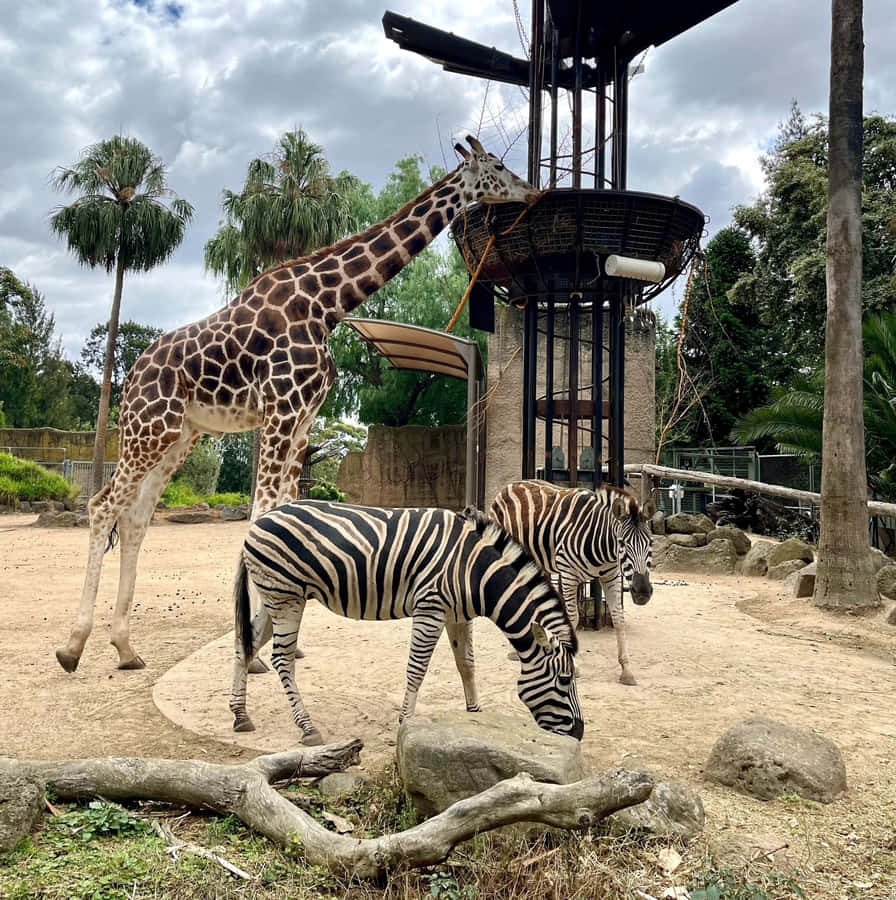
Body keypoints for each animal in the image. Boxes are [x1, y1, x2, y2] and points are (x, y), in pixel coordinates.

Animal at [228, 499, 583, 745]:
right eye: (565, 680)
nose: (579, 734)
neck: (475, 572)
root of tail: (257, 523)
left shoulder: (458, 616)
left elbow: (466, 665)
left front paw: (475, 716)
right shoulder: (430, 608)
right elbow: (417, 669)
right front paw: (406, 722)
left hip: (277, 597)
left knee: (244, 644)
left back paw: (240, 715)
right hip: (286, 598)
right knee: (281, 659)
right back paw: (307, 726)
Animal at [483, 480, 655, 686]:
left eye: (651, 543)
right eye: (622, 543)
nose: (642, 591)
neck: (602, 546)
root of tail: (510, 485)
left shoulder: (612, 576)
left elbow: (618, 620)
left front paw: (626, 670)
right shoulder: (568, 575)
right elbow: (573, 619)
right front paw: (575, 665)